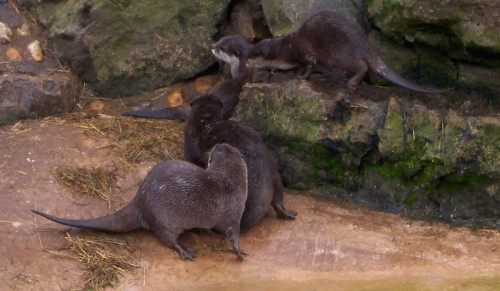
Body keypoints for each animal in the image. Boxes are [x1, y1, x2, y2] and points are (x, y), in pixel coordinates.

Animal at [32, 145, 247, 262]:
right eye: (218, 148)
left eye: (227, 148)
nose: (218, 143)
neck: (229, 184)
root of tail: (139, 201)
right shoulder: (233, 214)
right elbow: (233, 234)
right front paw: (238, 253)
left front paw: (209, 231)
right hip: (165, 218)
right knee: (166, 238)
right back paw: (184, 250)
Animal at [213, 12, 456, 94]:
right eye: (220, 40)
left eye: (222, 48)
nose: (212, 46)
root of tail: (365, 44)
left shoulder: (301, 51)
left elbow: (308, 63)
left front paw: (300, 76)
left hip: (338, 54)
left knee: (362, 66)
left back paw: (351, 82)